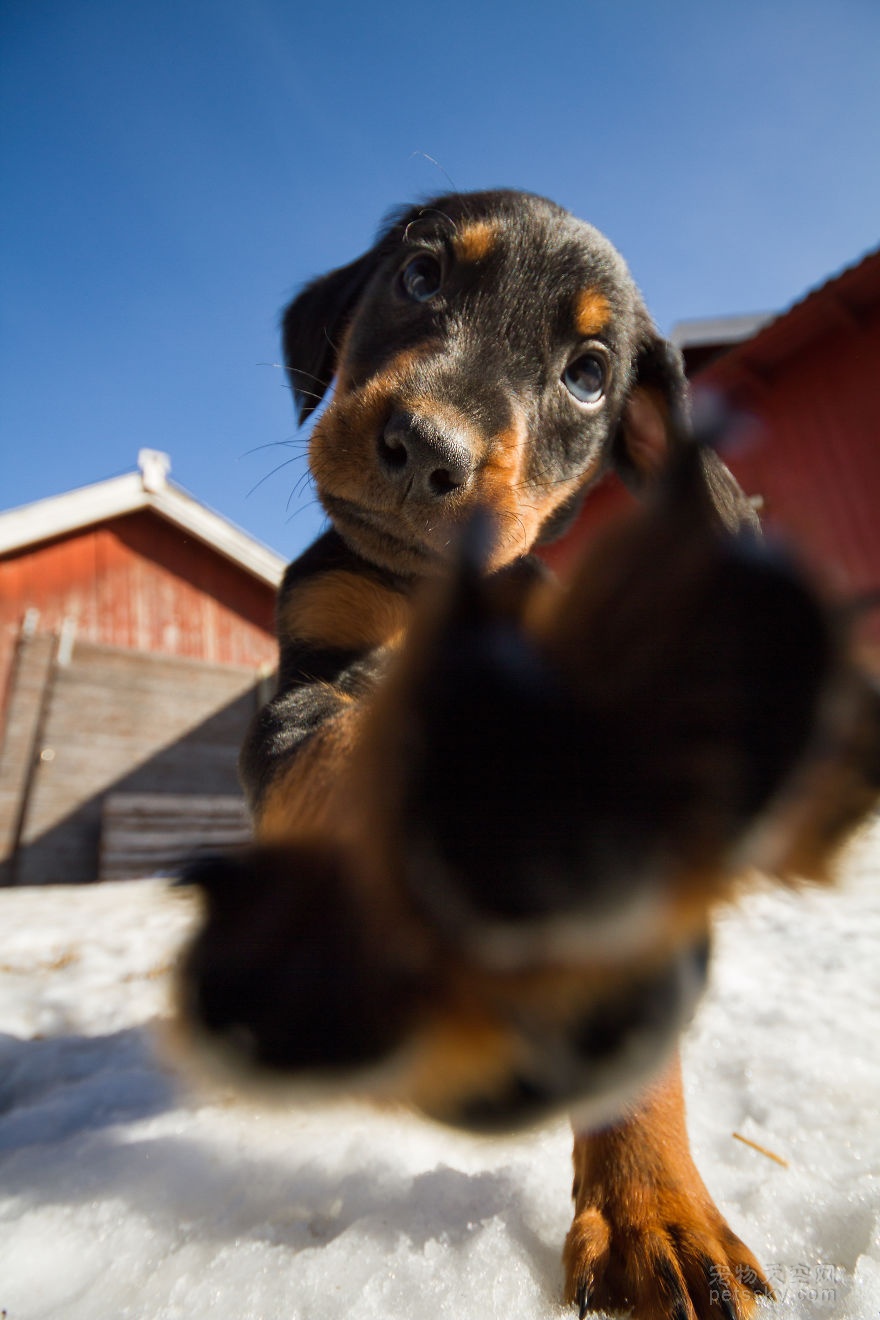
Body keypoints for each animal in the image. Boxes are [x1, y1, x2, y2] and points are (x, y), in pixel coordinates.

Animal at [176, 192, 880, 1320]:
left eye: (588, 373)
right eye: (418, 276)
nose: (427, 449)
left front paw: (655, 1215)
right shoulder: (297, 699)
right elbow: (343, 748)